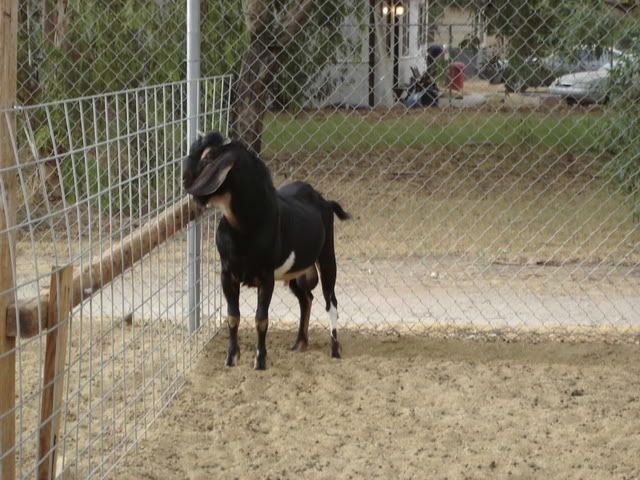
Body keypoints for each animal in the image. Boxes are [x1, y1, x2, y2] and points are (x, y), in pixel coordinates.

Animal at [183, 131, 350, 370]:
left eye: (208, 157)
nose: (184, 181)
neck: (245, 228)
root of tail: (325, 202)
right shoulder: (227, 273)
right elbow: (232, 316)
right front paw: (231, 358)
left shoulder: (266, 275)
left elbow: (261, 319)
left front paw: (260, 361)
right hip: (296, 272)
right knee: (306, 298)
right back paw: (299, 343)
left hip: (327, 257)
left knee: (331, 301)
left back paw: (334, 350)